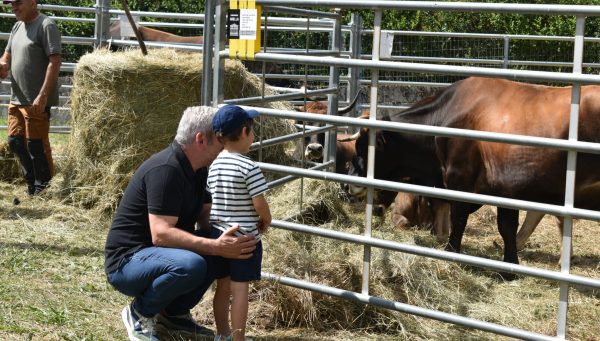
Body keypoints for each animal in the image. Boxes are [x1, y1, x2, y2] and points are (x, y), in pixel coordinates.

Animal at [350, 76, 600, 268]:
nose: (349, 181)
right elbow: (506, 226)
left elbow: (460, 217)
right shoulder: (502, 190)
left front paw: (452, 251)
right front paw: (510, 264)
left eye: (363, 148)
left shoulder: (460, 177)